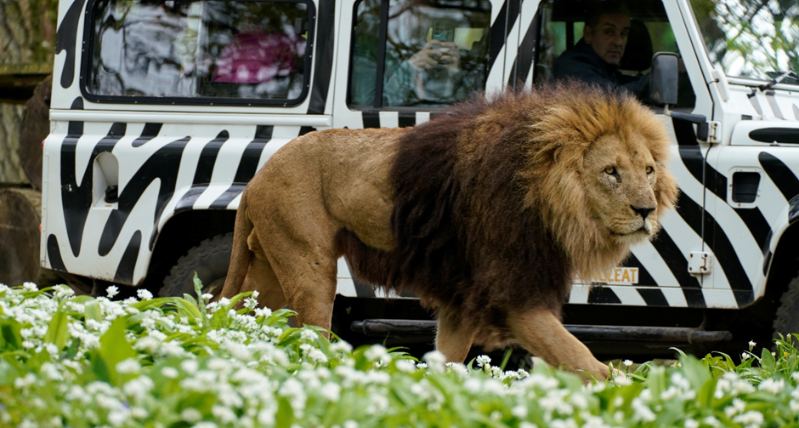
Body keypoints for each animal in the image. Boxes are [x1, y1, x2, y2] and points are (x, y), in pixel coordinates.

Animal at [216, 82, 679, 381]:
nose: (646, 210)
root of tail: (257, 177)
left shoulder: (462, 301)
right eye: (611, 172)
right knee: (311, 338)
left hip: (269, 270)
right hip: (310, 267)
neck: (548, 198)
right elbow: (586, 361)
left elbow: (448, 362)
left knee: (239, 316)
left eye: (648, 170)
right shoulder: (513, 297)